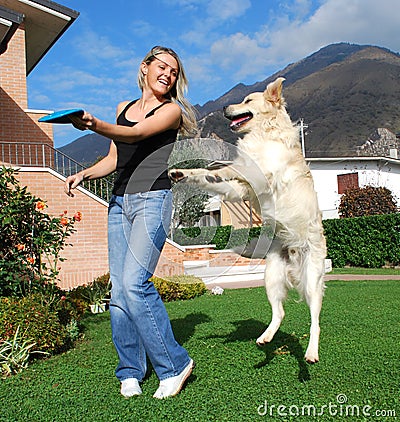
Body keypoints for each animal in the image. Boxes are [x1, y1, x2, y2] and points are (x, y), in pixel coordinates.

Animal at [170, 77, 326, 362]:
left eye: (247, 100)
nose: (223, 107)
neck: (265, 132)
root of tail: (294, 256)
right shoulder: (240, 189)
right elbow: (212, 175)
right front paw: (185, 173)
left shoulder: (260, 171)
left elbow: (229, 167)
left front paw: (210, 169)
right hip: (271, 276)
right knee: (280, 313)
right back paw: (266, 338)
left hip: (312, 280)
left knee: (315, 321)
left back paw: (310, 353)